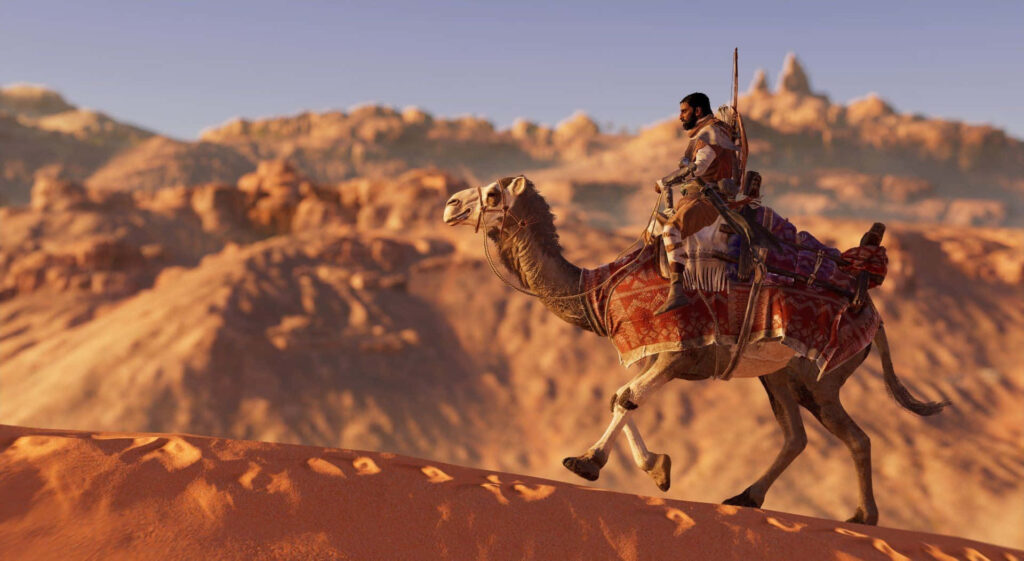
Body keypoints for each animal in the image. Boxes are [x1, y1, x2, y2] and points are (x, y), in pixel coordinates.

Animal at [441, 175, 949, 525]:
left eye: (493, 195)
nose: (450, 205)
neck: (595, 291)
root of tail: (875, 317)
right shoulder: (654, 352)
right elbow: (620, 396)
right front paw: (657, 469)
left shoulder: (677, 352)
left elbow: (626, 397)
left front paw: (586, 462)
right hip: (780, 374)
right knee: (796, 435)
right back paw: (746, 497)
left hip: (822, 376)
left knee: (855, 437)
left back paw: (863, 516)